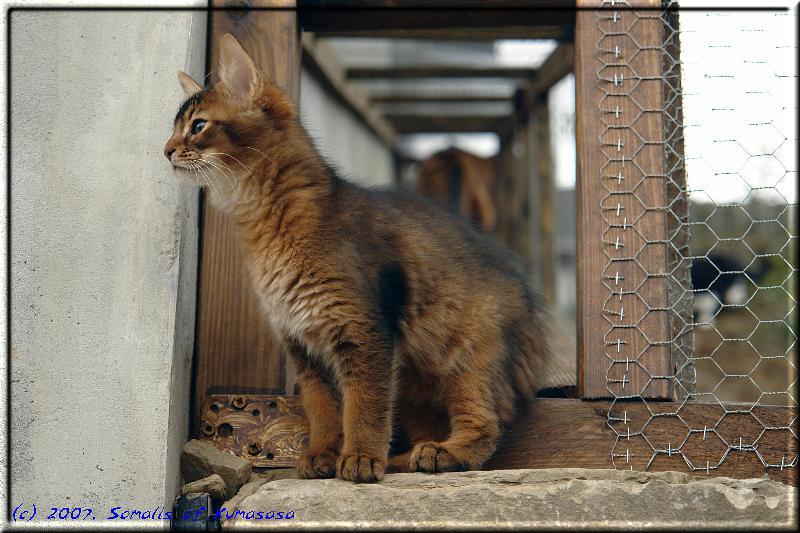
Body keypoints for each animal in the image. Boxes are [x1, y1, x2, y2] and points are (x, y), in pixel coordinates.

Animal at [162, 33, 552, 482]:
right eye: (174, 128)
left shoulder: (365, 331)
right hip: (414, 382)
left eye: (198, 126)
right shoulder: (303, 345)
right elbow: (324, 409)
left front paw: (361, 458)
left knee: (486, 424)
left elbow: (363, 405)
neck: (266, 228)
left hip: (468, 358)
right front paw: (323, 454)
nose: (166, 150)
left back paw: (443, 453)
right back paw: (405, 458)